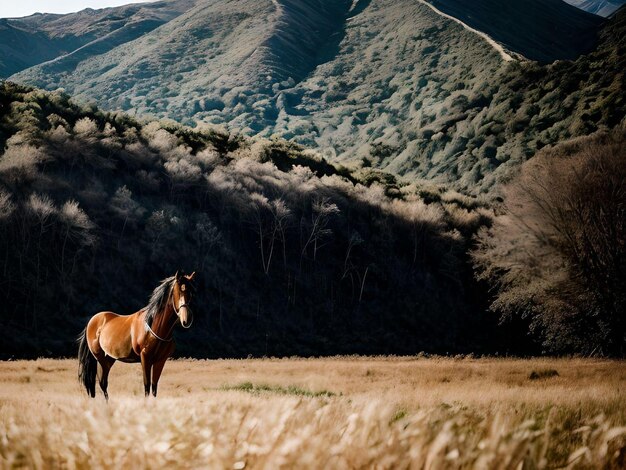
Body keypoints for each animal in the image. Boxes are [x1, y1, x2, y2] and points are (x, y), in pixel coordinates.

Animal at [77, 270, 195, 398]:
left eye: (191, 292)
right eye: (178, 291)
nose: (186, 319)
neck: (154, 328)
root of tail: (92, 321)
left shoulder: (160, 361)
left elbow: (154, 388)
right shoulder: (145, 358)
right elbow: (147, 387)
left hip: (109, 358)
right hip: (100, 359)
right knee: (101, 383)